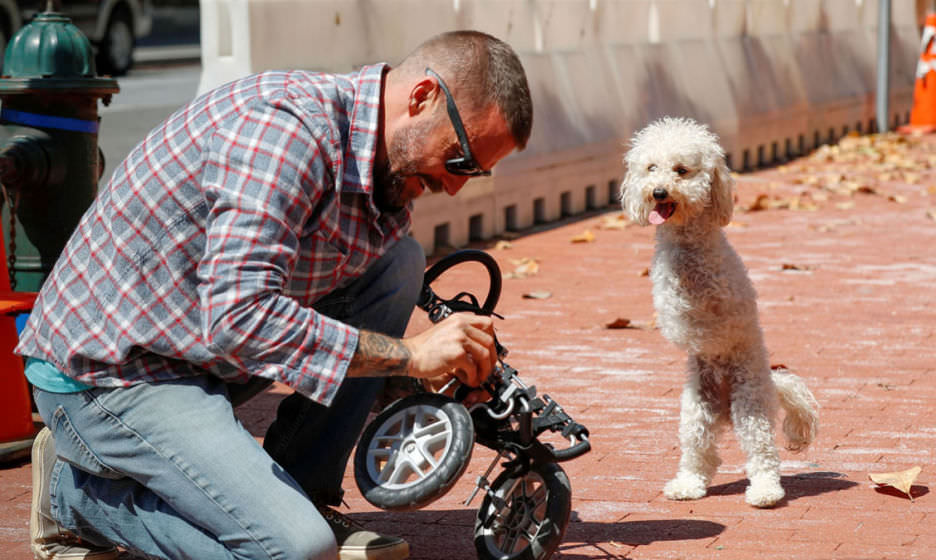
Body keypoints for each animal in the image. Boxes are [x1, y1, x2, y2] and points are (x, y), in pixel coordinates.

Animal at [620, 117, 820, 508]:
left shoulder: (728, 304)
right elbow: (677, 315)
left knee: (762, 454)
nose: (659, 192)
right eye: (651, 168)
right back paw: (687, 485)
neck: (687, 248)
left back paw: (765, 492)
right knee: (701, 455)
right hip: (696, 414)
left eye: (681, 170)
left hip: (750, 404)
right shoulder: (670, 304)